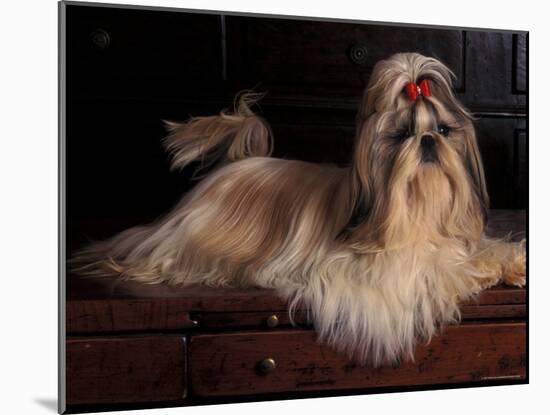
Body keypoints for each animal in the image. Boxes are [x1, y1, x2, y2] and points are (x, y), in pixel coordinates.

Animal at [71, 52, 528, 368]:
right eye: (401, 135)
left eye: (445, 130)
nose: (429, 140)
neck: (416, 211)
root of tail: (234, 166)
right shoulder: (376, 269)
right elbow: (436, 266)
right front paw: (472, 270)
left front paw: (510, 262)